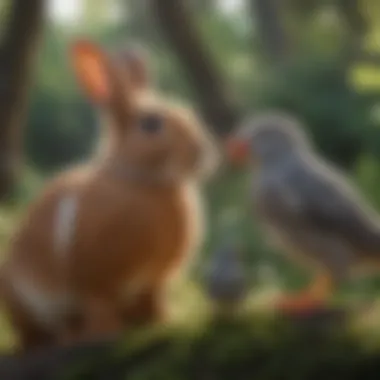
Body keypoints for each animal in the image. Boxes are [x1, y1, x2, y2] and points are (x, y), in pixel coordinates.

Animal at [0, 40, 218, 352]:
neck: (145, 183)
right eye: (151, 123)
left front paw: (164, 322)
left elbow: (152, 304)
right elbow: (100, 307)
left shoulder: (152, 283)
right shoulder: (96, 284)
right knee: (37, 334)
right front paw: (107, 334)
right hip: (21, 300)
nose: (202, 152)